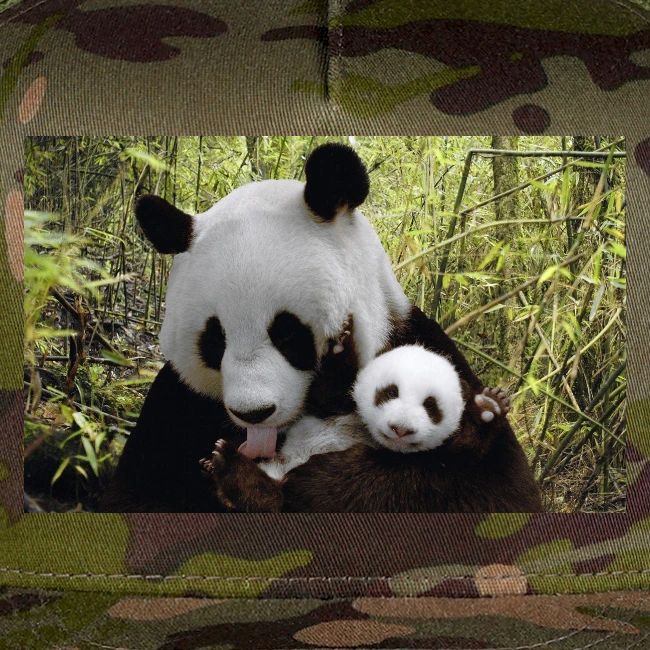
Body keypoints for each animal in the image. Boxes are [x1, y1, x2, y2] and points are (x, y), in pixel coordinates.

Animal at [100, 143, 539, 513]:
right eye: (215, 340)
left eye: (287, 333)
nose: (254, 413)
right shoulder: (178, 404)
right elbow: (137, 495)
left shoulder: (422, 347)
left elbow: (493, 489)